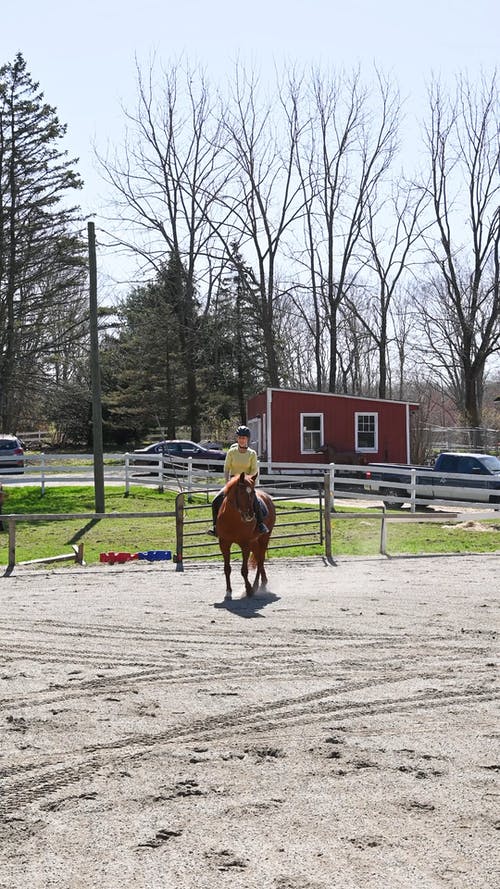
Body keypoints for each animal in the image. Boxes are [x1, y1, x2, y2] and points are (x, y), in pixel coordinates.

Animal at [216, 468, 276, 600]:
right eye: (242, 493)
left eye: (252, 492)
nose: (250, 515)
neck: (232, 519)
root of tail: (267, 497)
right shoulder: (224, 544)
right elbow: (227, 568)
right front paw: (228, 592)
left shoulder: (245, 544)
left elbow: (244, 570)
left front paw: (249, 590)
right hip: (254, 542)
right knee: (258, 558)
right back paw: (262, 583)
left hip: (264, 538)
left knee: (260, 560)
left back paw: (257, 586)